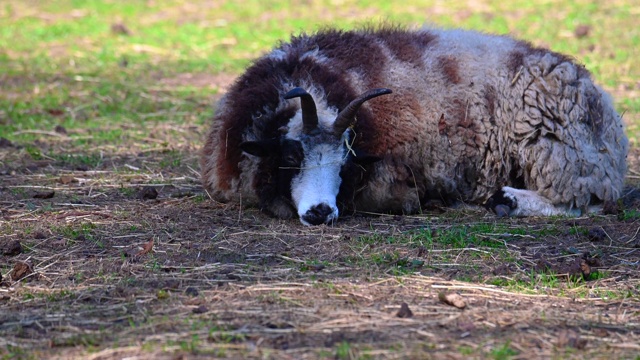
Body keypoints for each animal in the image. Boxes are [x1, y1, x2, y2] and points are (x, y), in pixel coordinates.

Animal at [201, 26, 632, 226]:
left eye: (344, 165)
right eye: (291, 158)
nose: (322, 211)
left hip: (563, 152)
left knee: (587, 202)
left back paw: (508, 200)